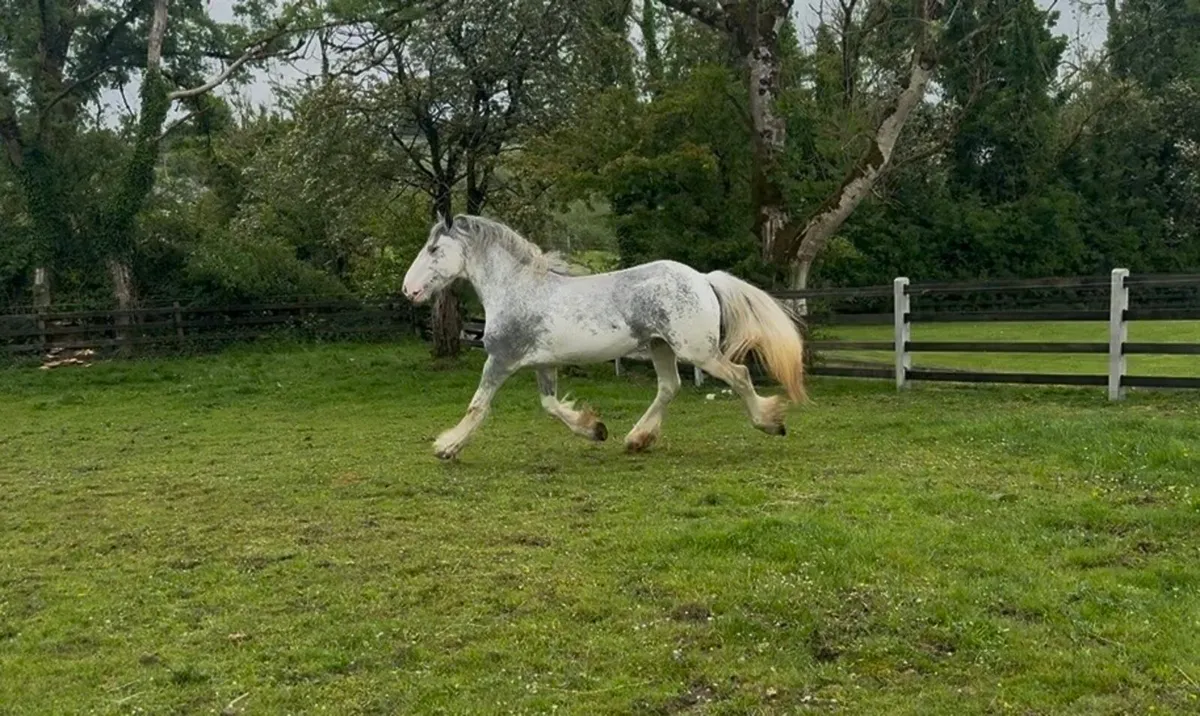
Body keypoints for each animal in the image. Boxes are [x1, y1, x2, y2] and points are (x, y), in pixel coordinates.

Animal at [401, 214, 806, 460]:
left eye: (434, 249)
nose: (409, 290)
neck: (517, 289)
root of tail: (704, 278)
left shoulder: (501, 360)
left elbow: (478, 406)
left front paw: (447, 447)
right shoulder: (543, 364)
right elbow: (550, 405)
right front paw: (595, 429)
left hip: (697, 351)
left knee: (739, 375)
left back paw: (770, 423)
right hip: (661, 346)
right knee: (669, 387)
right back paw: (637, 439)